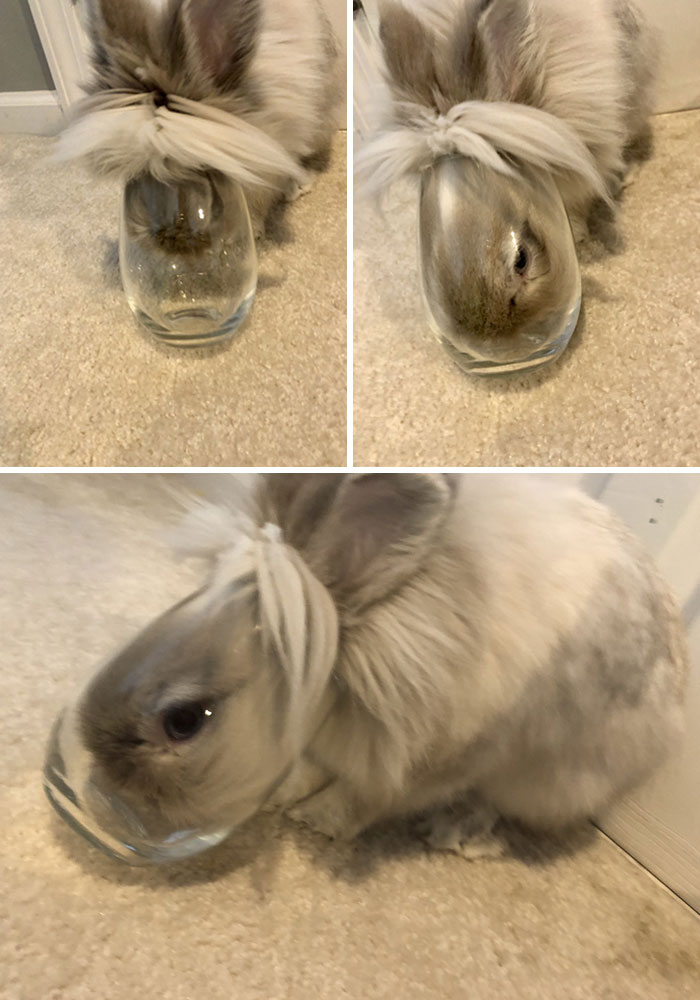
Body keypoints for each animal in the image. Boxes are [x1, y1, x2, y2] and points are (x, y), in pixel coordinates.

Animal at [67, 473, 687, 861]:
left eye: (184, 720)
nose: (103, 768)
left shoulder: (432, 764)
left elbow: (363, 799)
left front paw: (316, 822)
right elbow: (313, 767)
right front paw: (289, 798)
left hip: (545, 777)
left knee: (496, 804)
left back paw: (460, 836)